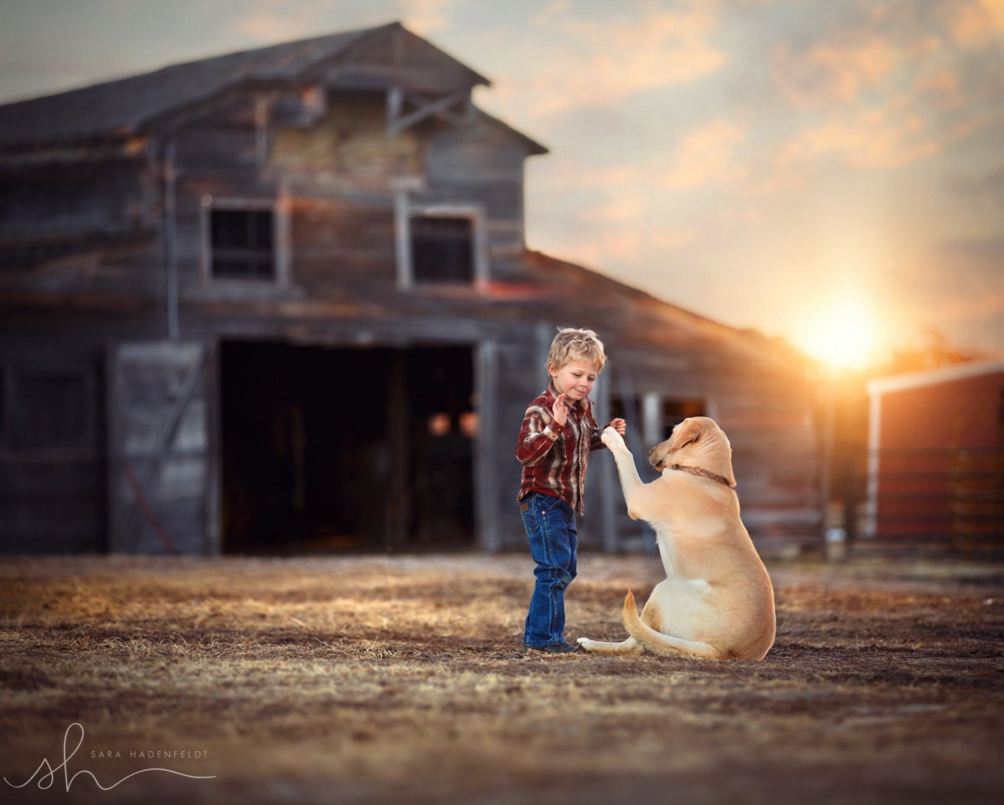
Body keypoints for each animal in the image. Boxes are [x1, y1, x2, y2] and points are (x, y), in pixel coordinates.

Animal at [574, 413, 775, 658]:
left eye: (672, 433)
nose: (649, 451)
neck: (703, 474)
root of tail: (721, 650)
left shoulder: (638, 497)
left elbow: (626, 456)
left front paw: (612, 436)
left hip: (664, 588)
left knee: (635, 642)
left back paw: (591, 643)